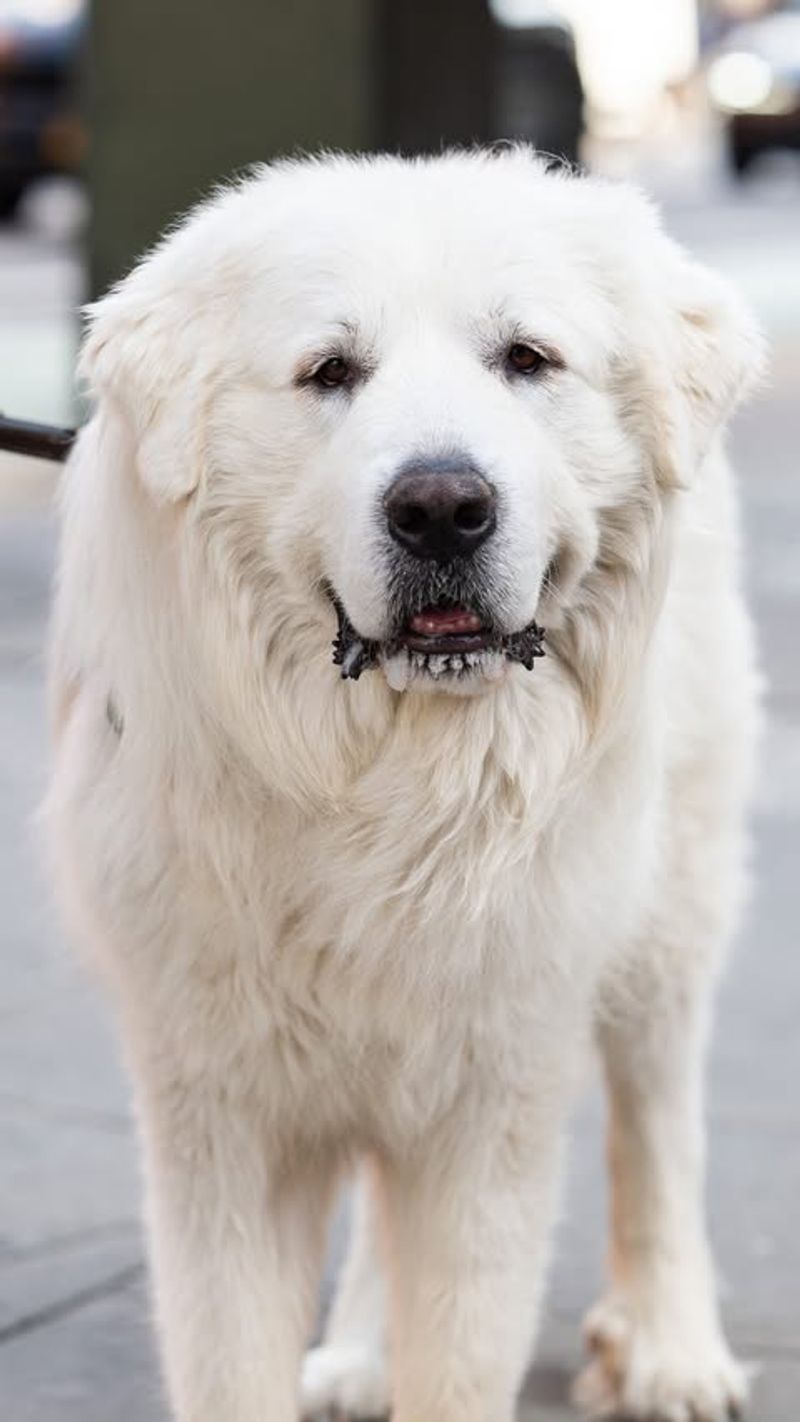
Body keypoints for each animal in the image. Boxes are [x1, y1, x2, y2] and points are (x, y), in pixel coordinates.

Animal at [46, 150, 767, 1416]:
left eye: (524, 359)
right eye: (331, 371)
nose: (440, 508)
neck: (385, 787)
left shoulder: (492, 1098)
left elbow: (468, 1343)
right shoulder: (220, 1113)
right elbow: (234, 1358)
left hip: (665, 916)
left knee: (658, 1123)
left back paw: (674, 1351)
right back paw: (360, 1356)